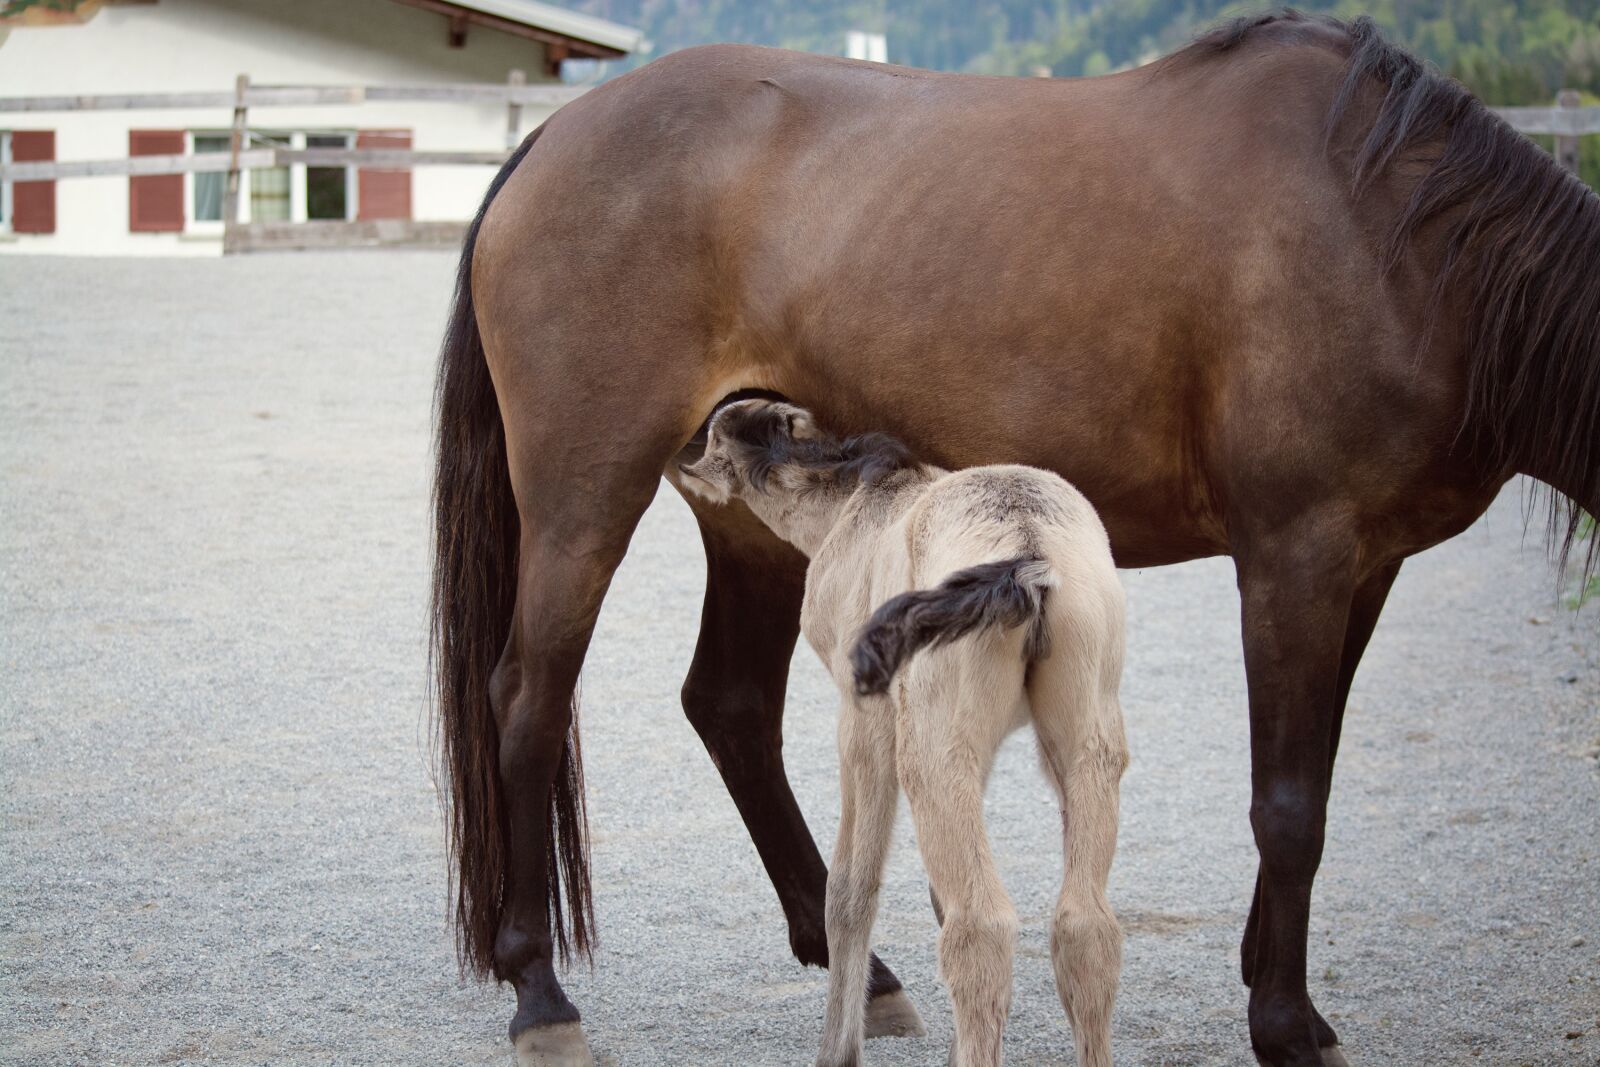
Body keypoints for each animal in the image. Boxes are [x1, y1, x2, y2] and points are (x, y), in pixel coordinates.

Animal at [678, 398, 1128, 1067]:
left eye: (712, 437)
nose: (684, 456)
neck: (856, 507)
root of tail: (1029, 556)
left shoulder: (865, 721)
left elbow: (851, 891)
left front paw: (841, 1046)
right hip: (1080, 742)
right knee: (1085, 925)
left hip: (929, 752)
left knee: (981, 926)